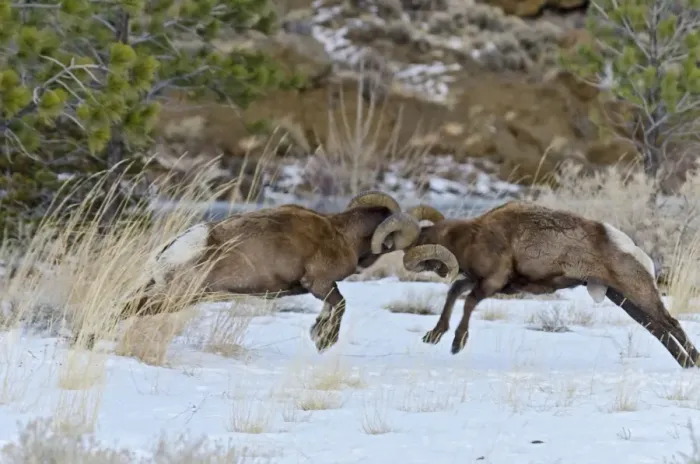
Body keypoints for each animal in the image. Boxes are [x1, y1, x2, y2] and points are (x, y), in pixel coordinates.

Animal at [92, 191, 444, 353]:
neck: (342, 234)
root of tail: (180, 247)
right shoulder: (319, 283)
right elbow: (340, 304)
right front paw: (323, 341)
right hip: (174, 297)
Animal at [371, 199, 700, 368]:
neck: (472, 237)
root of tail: (632, 249)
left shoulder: (492, 283)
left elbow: (468, 302)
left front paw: (456, 344)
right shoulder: (476, 280)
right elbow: (454, 294)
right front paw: (434, 335)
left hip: (637, 293)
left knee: (670, 324)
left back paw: (692, 364)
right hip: (624, 300)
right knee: (657, 329)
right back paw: (686, 365)